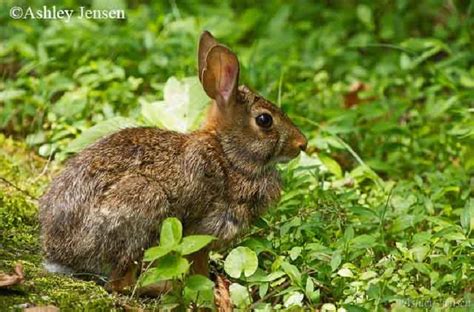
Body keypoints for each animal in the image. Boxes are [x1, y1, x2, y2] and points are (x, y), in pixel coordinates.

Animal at [39, 30, 308, 292]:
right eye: (264, 120)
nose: (302, 144)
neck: (228, 155)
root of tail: (59, 252)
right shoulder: (203, 232)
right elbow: (198, 266)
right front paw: (209, 290)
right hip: (142, 201)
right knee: (120, 283)